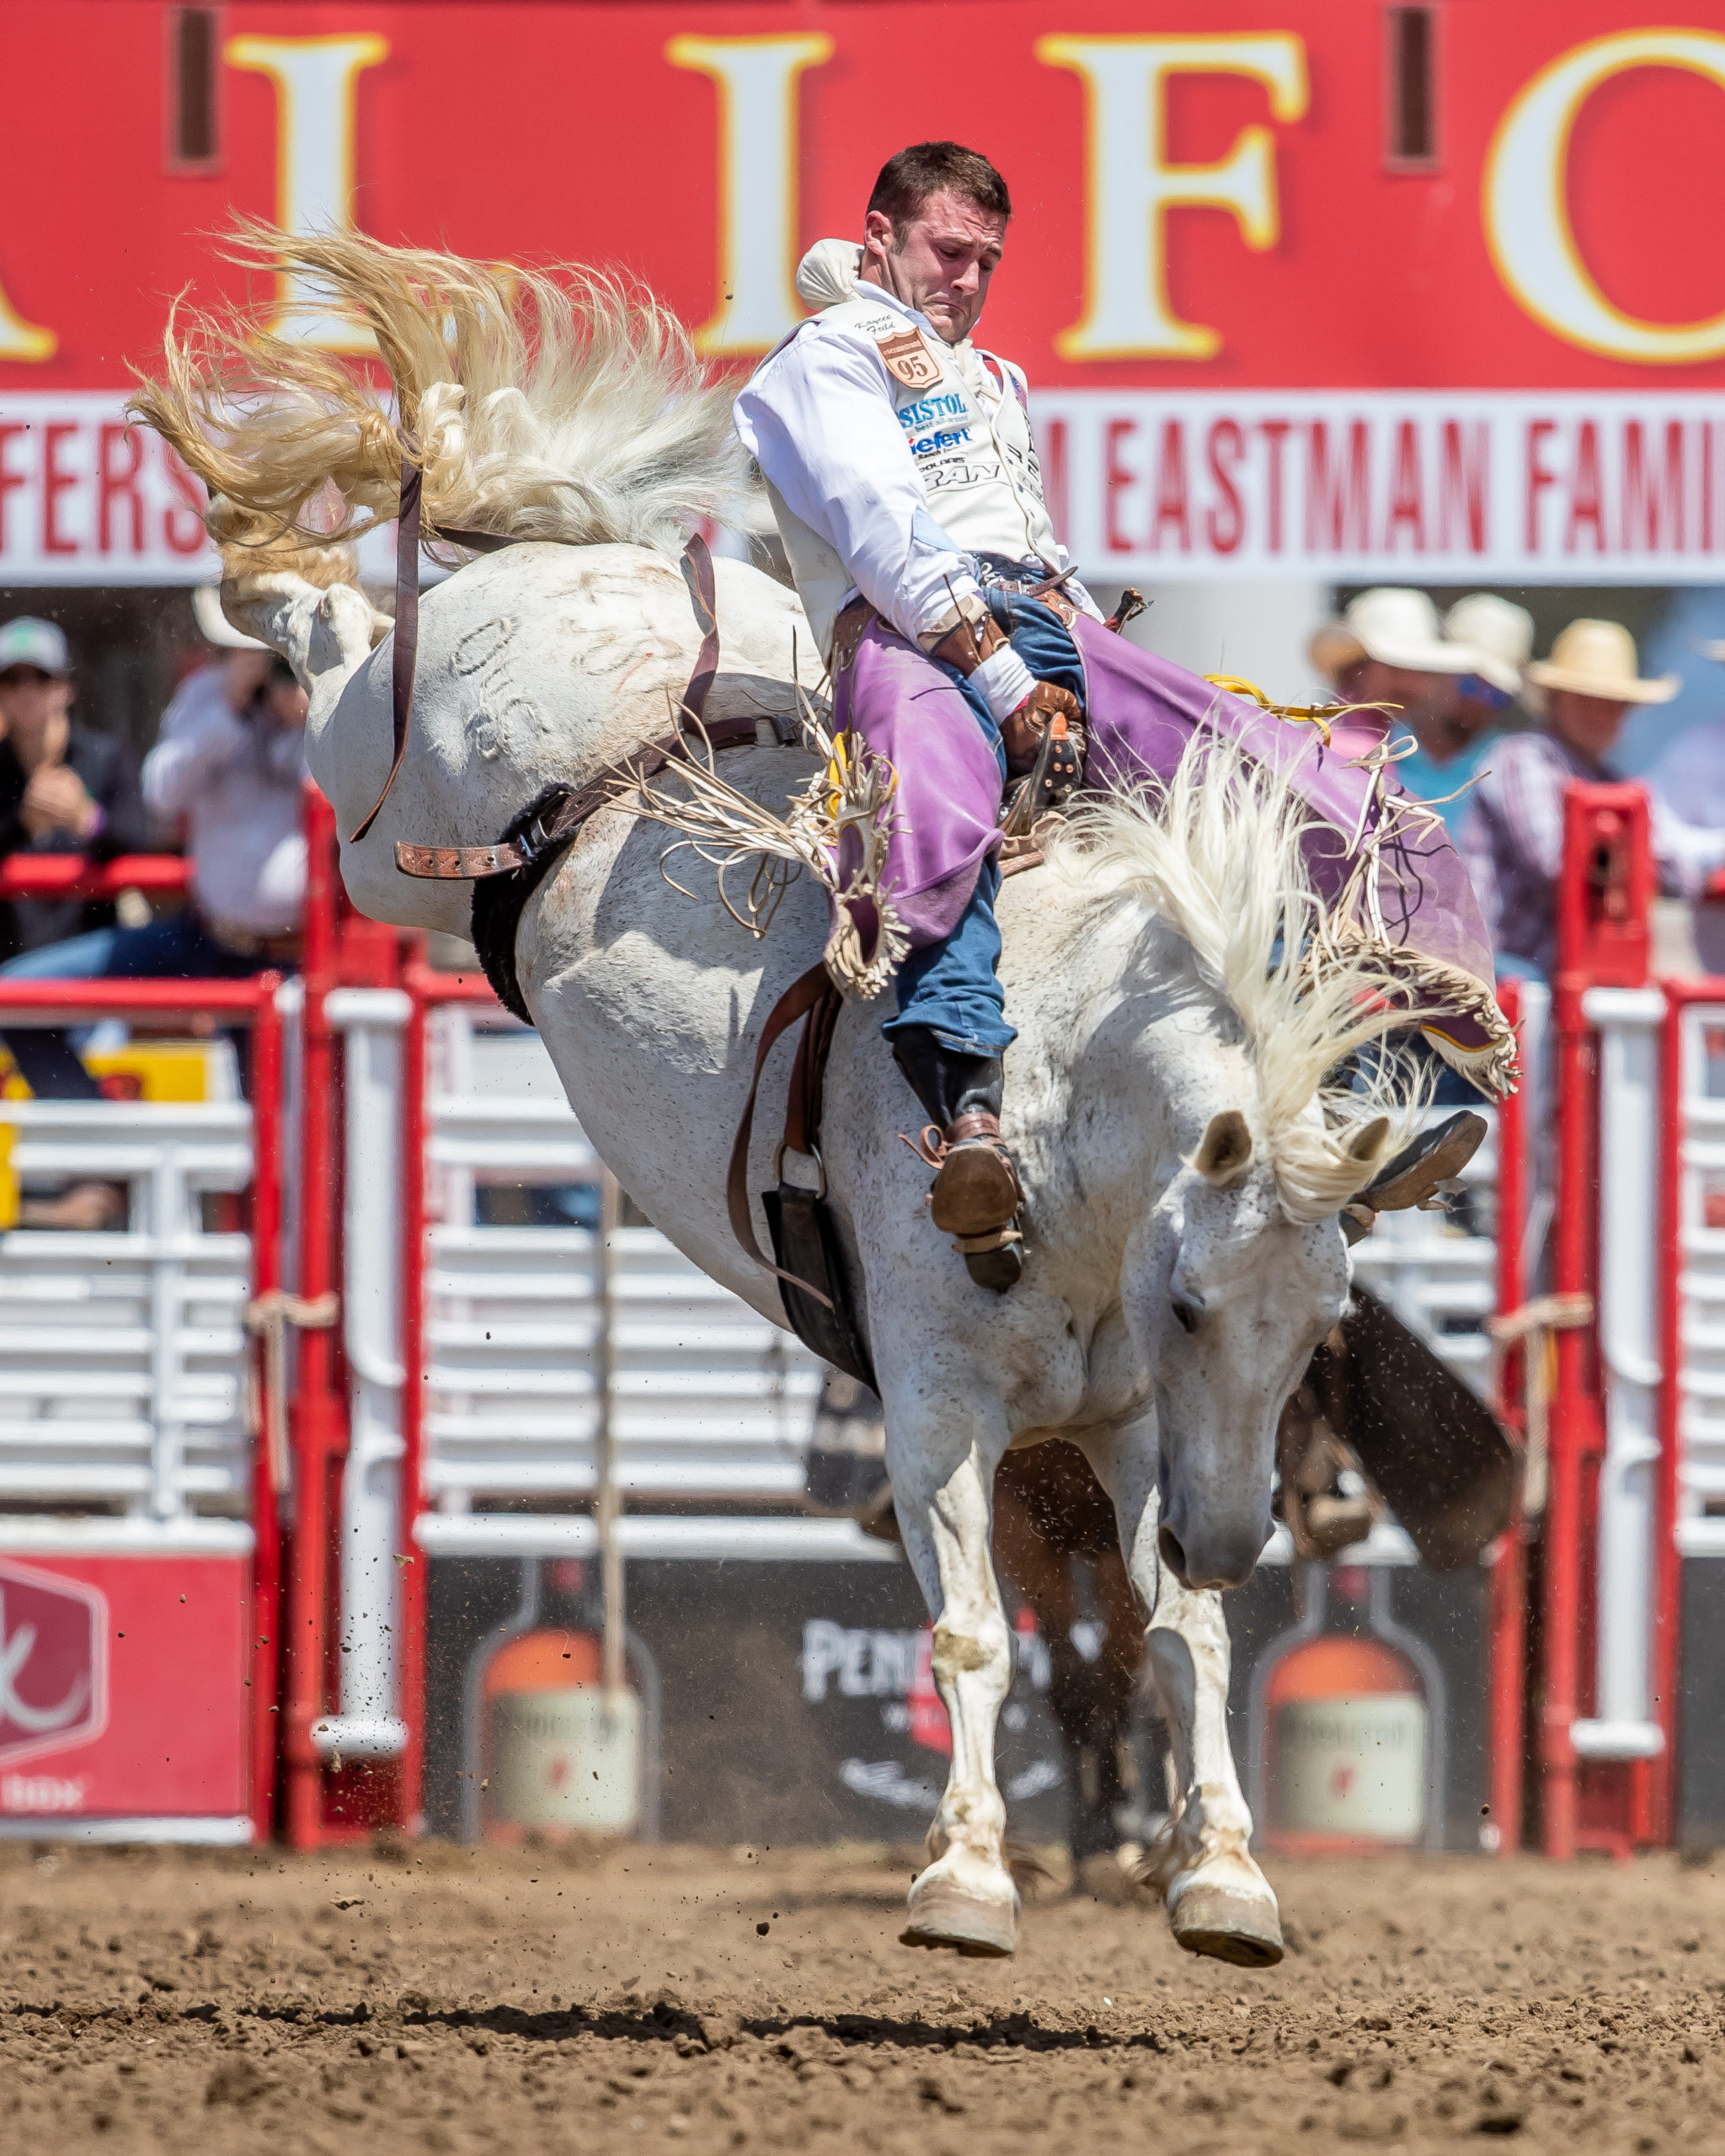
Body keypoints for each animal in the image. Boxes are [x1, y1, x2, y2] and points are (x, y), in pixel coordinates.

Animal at [141, 236, 1423, 1974]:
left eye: (1324, 1326)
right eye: (1191, 1300)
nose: (1245, 1533)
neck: (1061, 1129)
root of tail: (587, 586)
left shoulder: (1142, 1427)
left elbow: (1182, 1635)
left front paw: (1221, 1874)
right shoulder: (938, 1409)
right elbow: (970, 1636)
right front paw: (963, 1879)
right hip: (366, 800)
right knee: (334, 631)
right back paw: (260, 565)